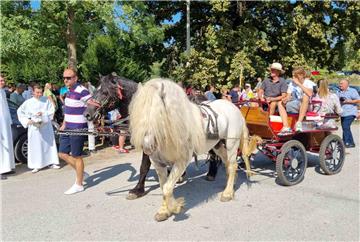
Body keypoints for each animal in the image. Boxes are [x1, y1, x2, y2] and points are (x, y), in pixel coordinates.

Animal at [83, 74, 219, 199]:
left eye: (105, 92)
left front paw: (138, 189)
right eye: (94, 91)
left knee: (214, 153)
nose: (87, 114)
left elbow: (144, 166)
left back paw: (211, 174)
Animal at [129, 78, 258, 221]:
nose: (147, 147)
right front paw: (164, 211)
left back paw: (227, 193)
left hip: (231, 143)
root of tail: (234, 107)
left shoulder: (181, 161)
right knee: (228, 163)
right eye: (136, 113)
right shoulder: (158, 163)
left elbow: (167, 187)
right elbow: (163, 187)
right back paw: (231, 183)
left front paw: (176, 207)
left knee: (233, 164)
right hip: (217, 145)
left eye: (159, 113)